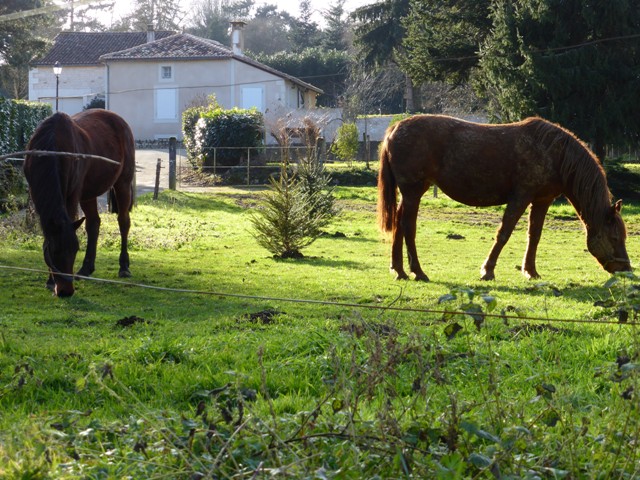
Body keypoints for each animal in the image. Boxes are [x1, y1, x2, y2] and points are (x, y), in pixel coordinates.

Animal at [23, 110, 135, 296]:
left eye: (75, 250)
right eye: (54, 252)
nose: (65, 291)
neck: (52, 148)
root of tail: (120, 121)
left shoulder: (72, 195)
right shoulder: (36, 195)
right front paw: (50, 280)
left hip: (123, 183)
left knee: (123, 221)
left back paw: (124, 267)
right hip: (88, 193)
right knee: (93, 223)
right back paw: (86, 269)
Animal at [378, 115, 632, 282]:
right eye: (614, 237)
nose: (626, 269)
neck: (554, 154)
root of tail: (394, 129)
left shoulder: (542, 200)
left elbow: (535, 236)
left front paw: (531, 271)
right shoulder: (520, 197)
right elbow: (504, 233)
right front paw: (488, 270)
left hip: (411, 193)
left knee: (399, 224)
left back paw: (399, 270)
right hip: (413, 192)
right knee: (408, 227)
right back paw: (418, 272)